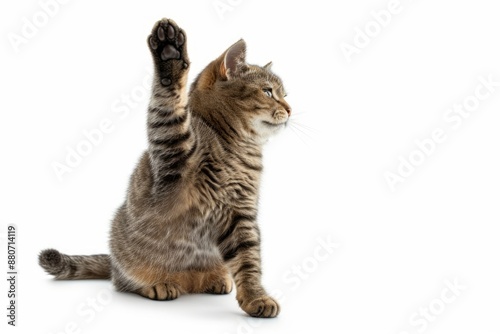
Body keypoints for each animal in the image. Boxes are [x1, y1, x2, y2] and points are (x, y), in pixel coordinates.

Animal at [40, 18, 292, 318]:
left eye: (285, 94)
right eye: (267, 92)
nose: (290, 109)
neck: (234, 148)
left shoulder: (241, 212)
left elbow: (248, 259)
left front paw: (255, 297)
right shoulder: (170, 147)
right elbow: (168, 99)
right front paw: (169, 54)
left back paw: (215, 277)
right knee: (121, 281)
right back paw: (156, 284)